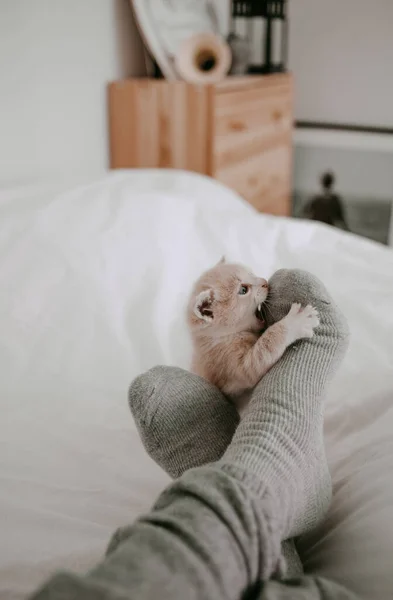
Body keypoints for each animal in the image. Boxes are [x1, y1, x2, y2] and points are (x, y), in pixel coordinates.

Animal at [187, 260, 318, 400]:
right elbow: (264, 350)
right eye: (243, 290)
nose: (265, 282)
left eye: (250, 274)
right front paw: (296, 322)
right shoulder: (234, 364)